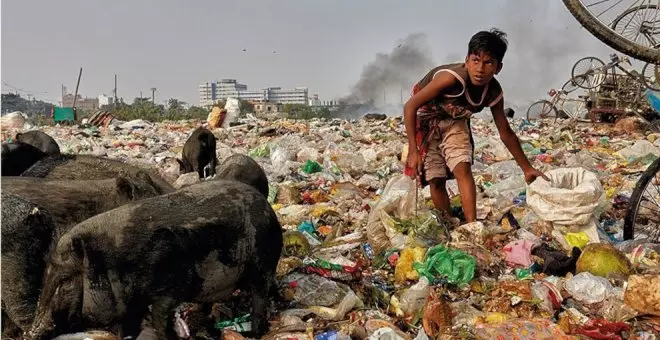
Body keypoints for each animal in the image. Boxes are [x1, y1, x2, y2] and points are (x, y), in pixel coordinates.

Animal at [28, 179, 282, 338]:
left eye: (65, 280)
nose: (30, 333)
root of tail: (267, 207)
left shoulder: (167, 290)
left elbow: (161, 320)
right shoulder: (130, 306)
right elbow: (127, 327)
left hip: (263, 263)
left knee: (260, 298)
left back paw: (254, 333)